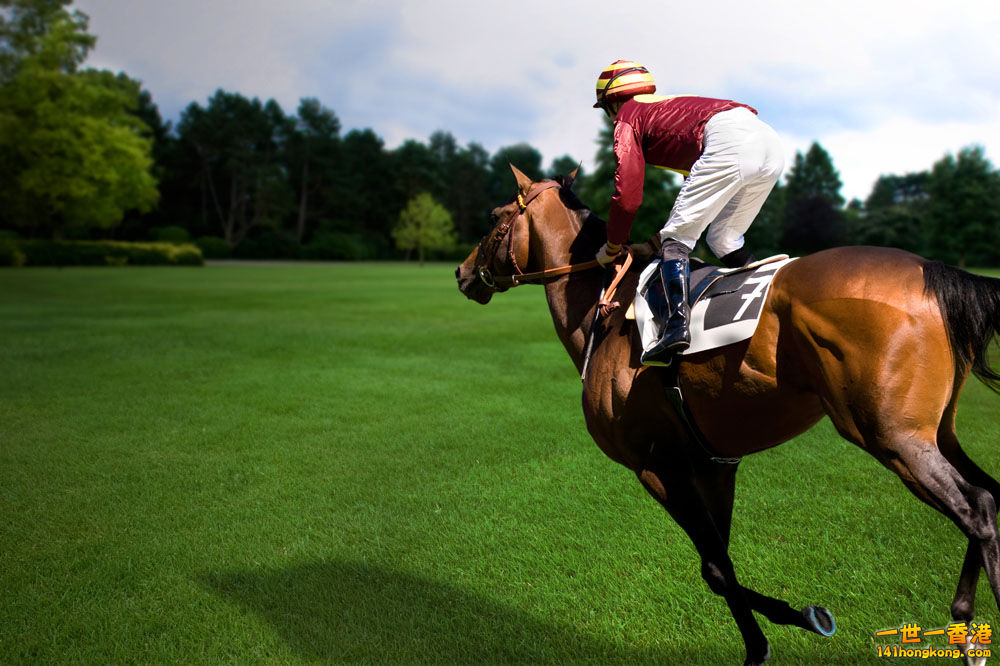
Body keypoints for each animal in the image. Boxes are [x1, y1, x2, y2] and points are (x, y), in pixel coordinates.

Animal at [455, 165, 1000, 665]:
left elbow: (715, 569)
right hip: (937, 432)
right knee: (990, 493)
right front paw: (780, 631)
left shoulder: (657, 466)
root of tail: (934, 272)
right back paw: (963, 624)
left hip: (892, 436)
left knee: (976, 508)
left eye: (494, 217)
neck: (604, 313)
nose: (461, 273)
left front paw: (791, 626)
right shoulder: (714, 464)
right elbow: (721, 564)